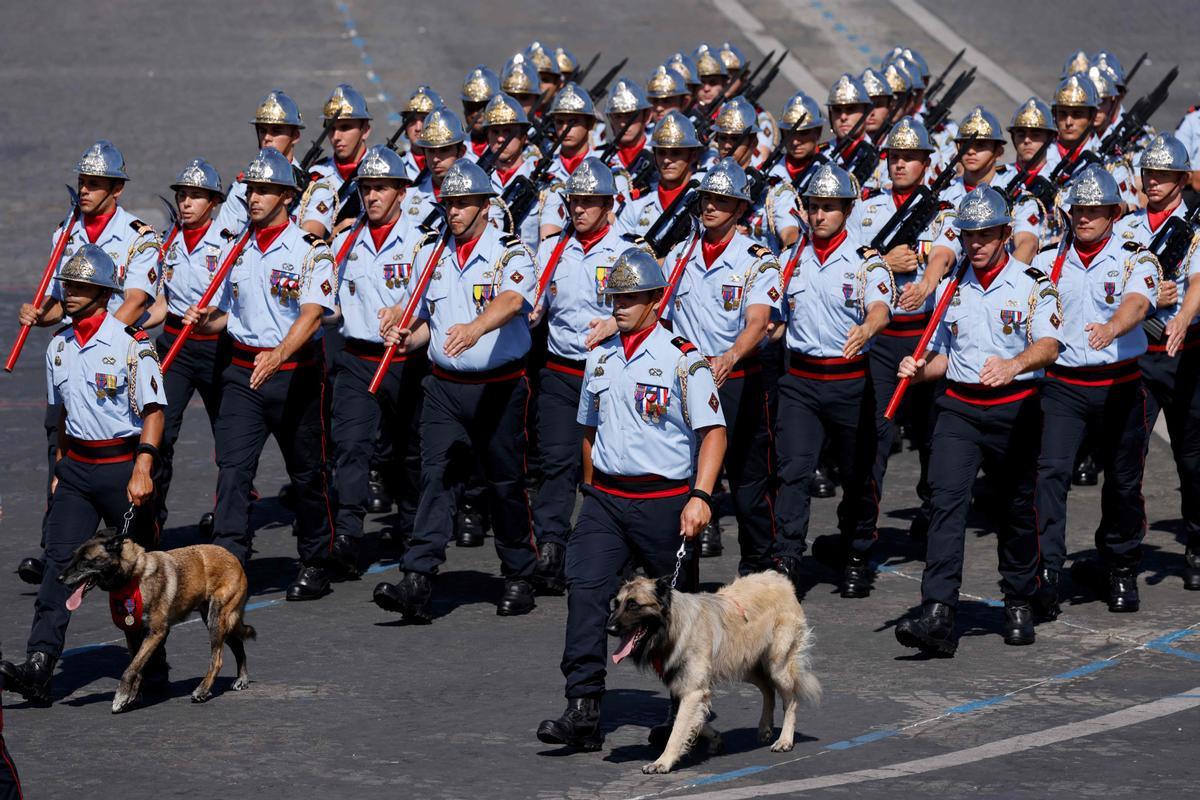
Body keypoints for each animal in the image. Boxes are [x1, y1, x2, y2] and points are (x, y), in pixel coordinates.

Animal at [59, 532, 255, 714]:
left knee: (218, 659)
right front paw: (132, 696)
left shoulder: (156, 632)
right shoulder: (133, 633)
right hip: (213, 619)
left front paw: (120, 696)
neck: (134, 576)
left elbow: (131, 669)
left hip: (216, 618)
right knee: (238, 645)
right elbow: (137, 666)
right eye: (74, 556)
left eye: (85, 561)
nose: (59, 578)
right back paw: (242, 679)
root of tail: (233, 558)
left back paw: (203, 690)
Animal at [604, 573, 820, 772]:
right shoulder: (686, 689)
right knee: (767, 689)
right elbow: (690, 721)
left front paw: (663, 762)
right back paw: (765, 728)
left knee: (791, 700)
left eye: (634, 605)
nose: (609, 628)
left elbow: (678, 729)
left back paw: (785, 740)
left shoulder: (692, 691)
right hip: (745, 665)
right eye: (617, 604)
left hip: (777, 666)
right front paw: (715, 738)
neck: (674, 625)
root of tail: (781, 579)